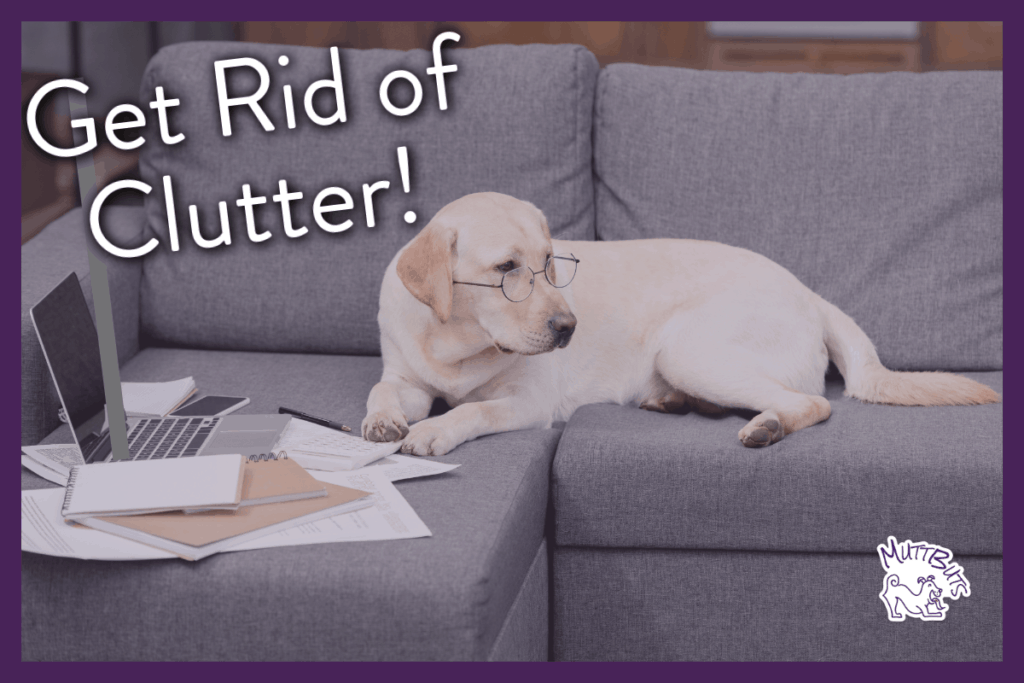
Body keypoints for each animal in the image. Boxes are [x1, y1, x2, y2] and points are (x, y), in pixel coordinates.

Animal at [362, 189, 999, 454]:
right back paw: (676, 403)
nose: (569, 329)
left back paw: (765, 426)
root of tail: (809, 294)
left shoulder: (527, 403)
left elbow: (473, 410)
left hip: (687, 350)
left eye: (549, 263)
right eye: (507, 269)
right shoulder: (406, 377)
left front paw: (436, 431)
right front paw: (384, 422)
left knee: (810, 403)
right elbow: (382, 392)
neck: (456, 343)